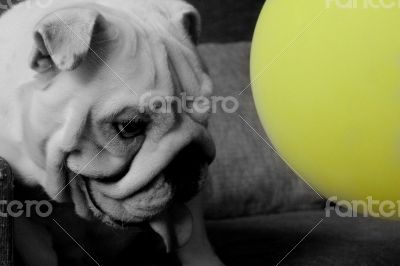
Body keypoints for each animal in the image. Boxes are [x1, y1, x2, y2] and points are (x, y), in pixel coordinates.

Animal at [0, 0, 223, 264]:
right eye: (129, 127)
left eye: (206, 113)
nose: (188, 159)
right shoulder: (24, 217)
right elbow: (41, 254)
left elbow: (196, 243)